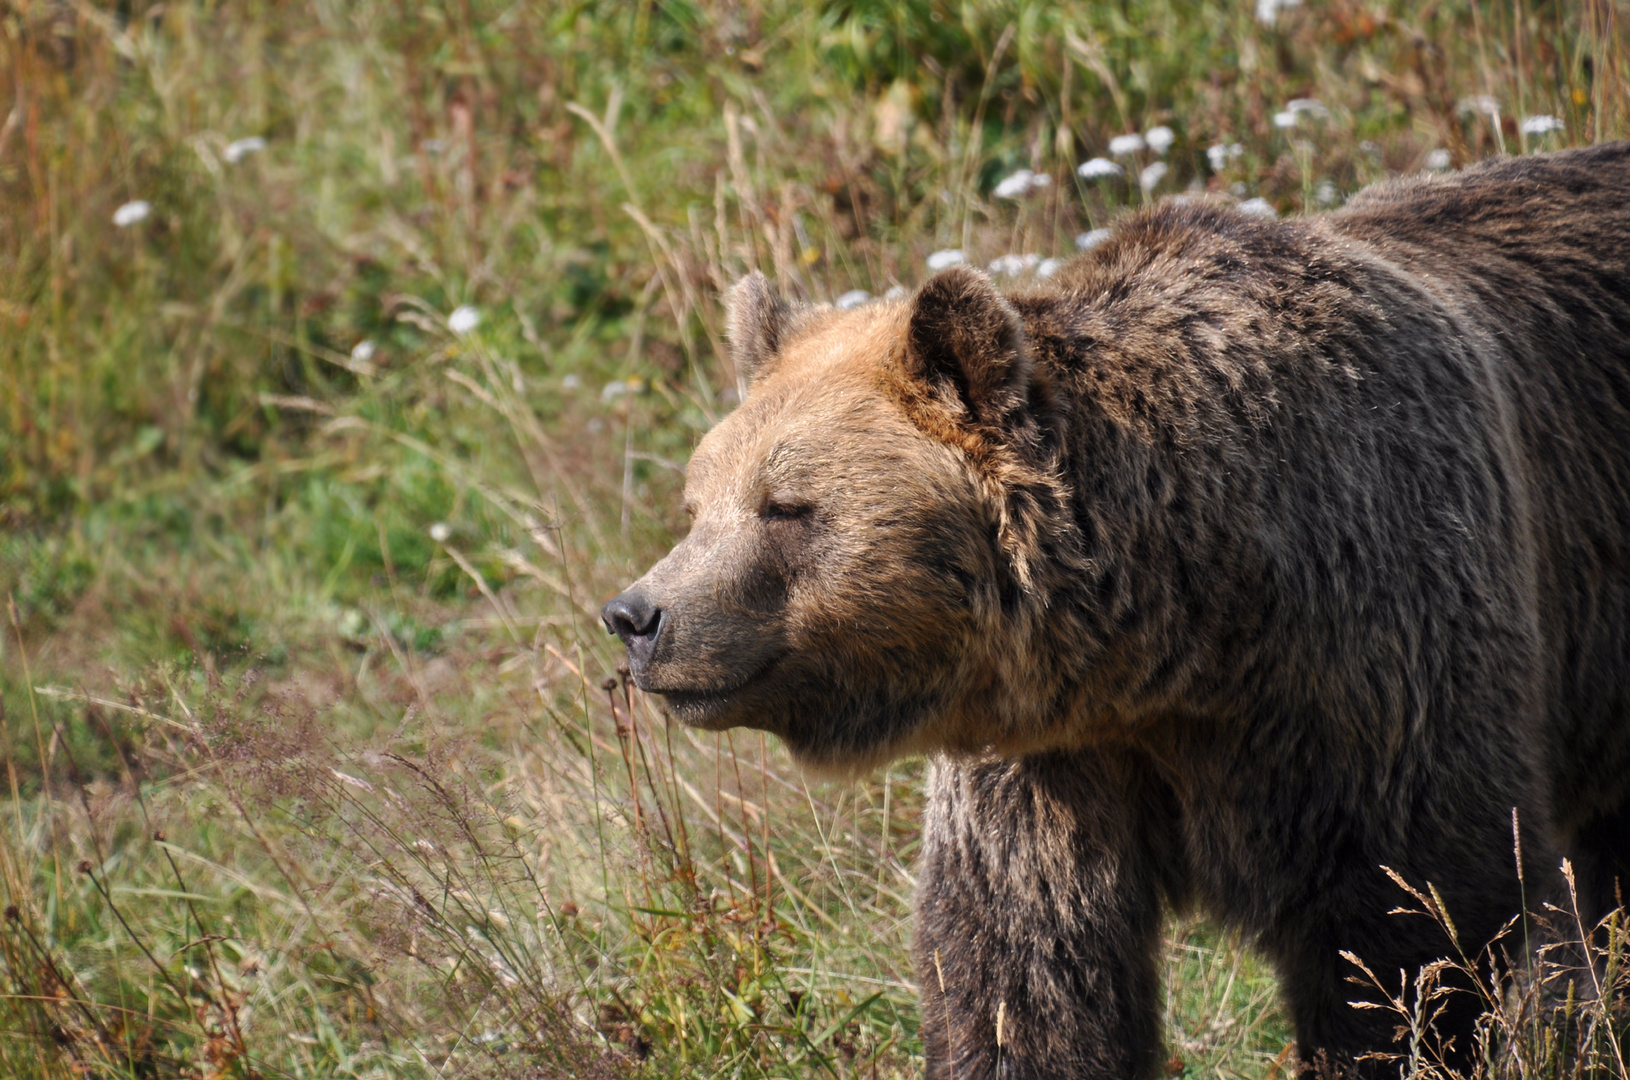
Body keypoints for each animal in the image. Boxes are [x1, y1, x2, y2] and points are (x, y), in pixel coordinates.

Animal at [606, 141, 1630, 1075]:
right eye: (698, 503)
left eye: (787, 506)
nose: (637, 616)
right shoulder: (1053, 768)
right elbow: (1024, 966)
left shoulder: (1381, 650)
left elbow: (1412, 931)